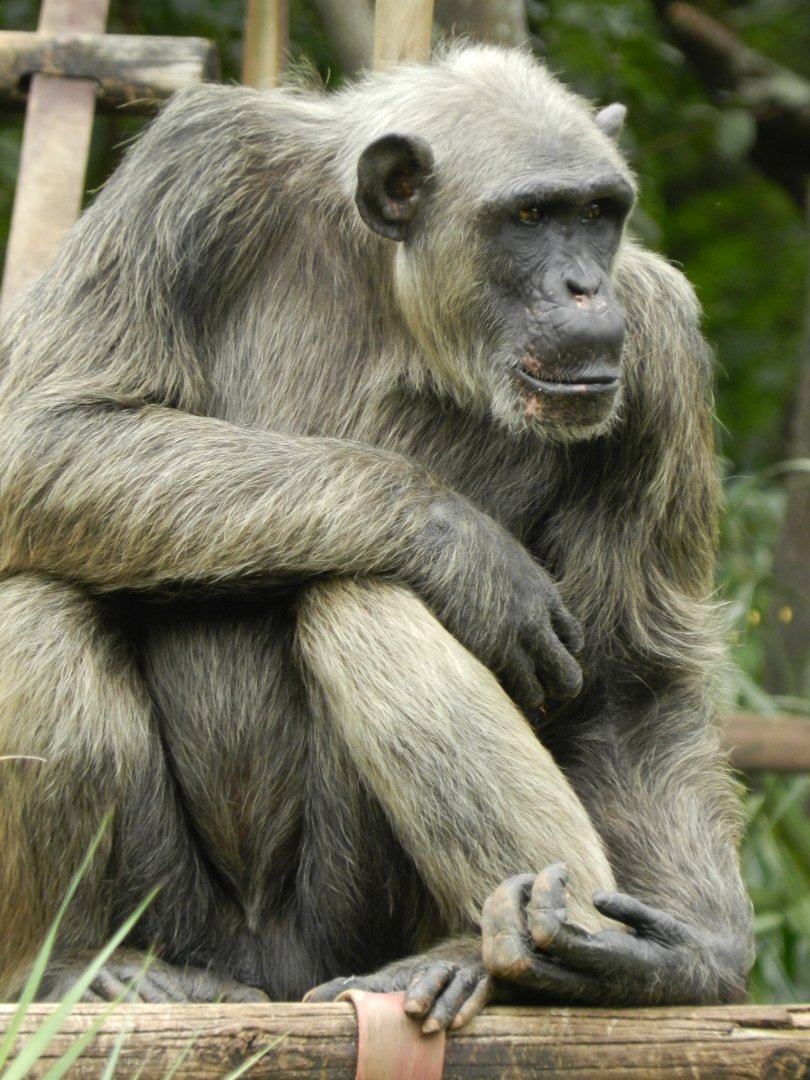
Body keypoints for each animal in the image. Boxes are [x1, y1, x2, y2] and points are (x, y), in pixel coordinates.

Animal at [0, 45, 753, 1030]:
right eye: (531, 216)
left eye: (598, 213)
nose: (584, 286)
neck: (399, 295)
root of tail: (269, 968)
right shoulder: (194, 173)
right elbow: (43, 427)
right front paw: (459, 546)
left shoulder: (660, 350)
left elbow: (632, 686)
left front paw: (689, 954)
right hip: (179, 916)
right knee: (32, 601)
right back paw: (78, 960)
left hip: (345, 922)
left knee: (366, 606)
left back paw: (496, 952)